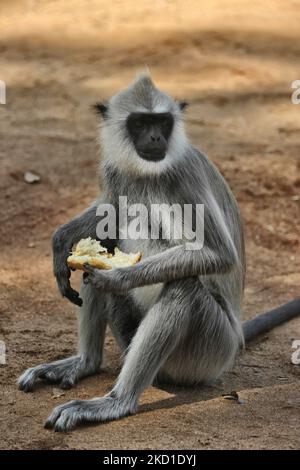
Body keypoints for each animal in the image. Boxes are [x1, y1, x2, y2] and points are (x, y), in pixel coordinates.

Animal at [17, 75, 298, 432]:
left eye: (162, 122)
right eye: (140, 123)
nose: (155, 137)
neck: (145, 172)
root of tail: (235, 341)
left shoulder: (180, 175)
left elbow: (219, 254)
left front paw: (118, 276)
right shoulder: (114, 170)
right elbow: (107, 211)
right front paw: (62, 238)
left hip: (208, 350)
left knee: (183, 286)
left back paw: (117, 402)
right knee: (111, 236)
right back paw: (85, 363)